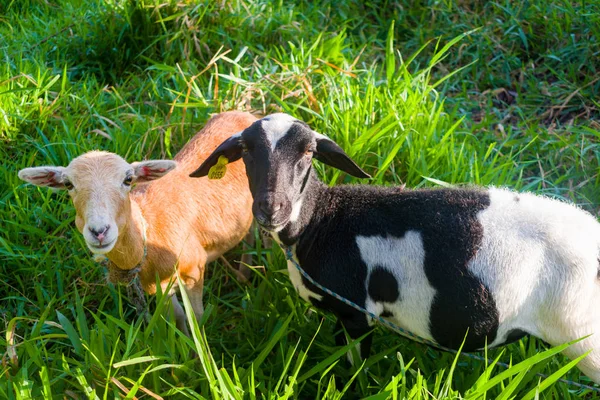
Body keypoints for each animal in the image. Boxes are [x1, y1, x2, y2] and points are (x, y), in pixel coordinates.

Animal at [18, 110, 258, 332]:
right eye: (68, 184)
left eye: (128, 179)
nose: (99, 231)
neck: (149, 230)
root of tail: (243, 113)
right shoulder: (158, 284)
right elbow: (177, 317)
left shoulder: (193, 271)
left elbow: (196, 319)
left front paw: (197, 349)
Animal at [191, 113, 600, 384]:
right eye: (245, 151)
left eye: (308, 153)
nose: (271, 208)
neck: (320, 220)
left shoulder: (358, 313)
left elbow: (354, 369)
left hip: (584, 337)